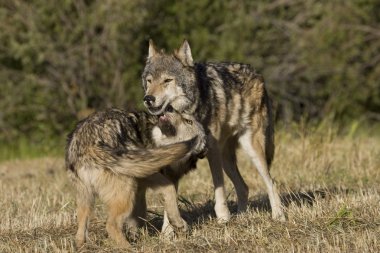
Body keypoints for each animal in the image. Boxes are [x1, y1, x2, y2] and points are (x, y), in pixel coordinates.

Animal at [66, 107, 206, 247]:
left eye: (188, 121)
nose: (169, 108)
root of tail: (89, 142)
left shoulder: (140, 190)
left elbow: (141, 216)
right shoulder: (150, 175)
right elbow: (170, 193)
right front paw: (179, 224)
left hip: (87, 198)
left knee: (82, 227)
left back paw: (82, 245)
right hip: (127, 192)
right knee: (111, 225)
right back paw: (129, 247)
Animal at [141, 41, 284, 223]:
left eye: (167, 80)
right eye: (149, 81)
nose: (148, 99)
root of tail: (258, 74)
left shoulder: (212, 151)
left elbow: (219, 187)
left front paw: (223, 217)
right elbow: (169, 196)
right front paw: (168, 229)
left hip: (251, 149)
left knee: (271, 182)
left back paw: (278, 215)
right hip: (226, 159)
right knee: (243, 187)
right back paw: (241, 216)